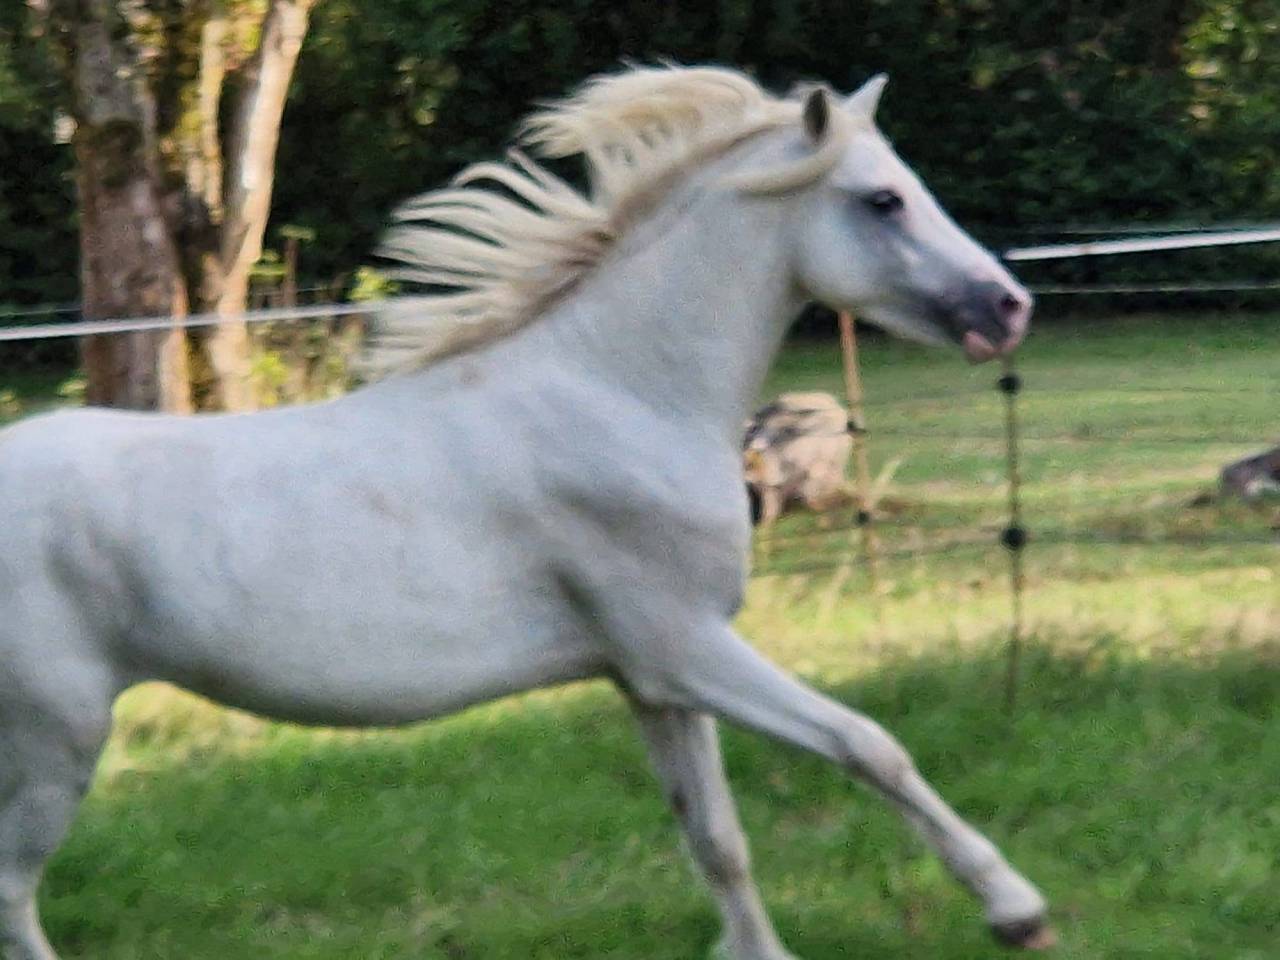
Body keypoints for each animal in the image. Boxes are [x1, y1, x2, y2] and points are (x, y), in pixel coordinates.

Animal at [0, 66, 1044, 959]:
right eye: (882, 199)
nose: (1009, 305)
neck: (619, 393)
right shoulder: (685, 645)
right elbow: (871, 746)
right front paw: (1018, 911)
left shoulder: (652, 680)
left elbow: (717, 838)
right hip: (56, 739)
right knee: (14, 892)